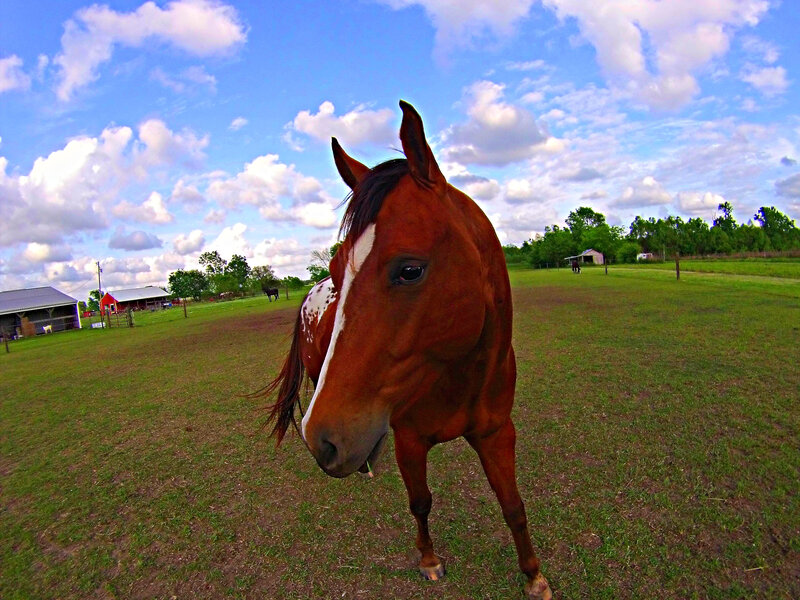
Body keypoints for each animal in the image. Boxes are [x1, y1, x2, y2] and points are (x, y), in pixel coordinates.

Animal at [261, 101, 551, 600]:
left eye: (409, 269)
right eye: (336, 267)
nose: (324, 439)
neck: (461, 379)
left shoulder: (497, 433)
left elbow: (513, 505)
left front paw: (533, 575)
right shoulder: (409, 439)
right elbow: (420, 502)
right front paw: (429, 560)